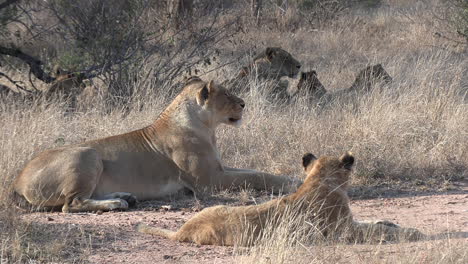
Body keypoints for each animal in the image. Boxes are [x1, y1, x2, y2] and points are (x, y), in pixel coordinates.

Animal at [136, 152, 424, 246]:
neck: (319, 179)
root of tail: (183, 229)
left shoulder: (351, 223)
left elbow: (375, 223)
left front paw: (389, 222)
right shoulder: (344, 231)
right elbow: (378, 232)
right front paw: (413, 232)